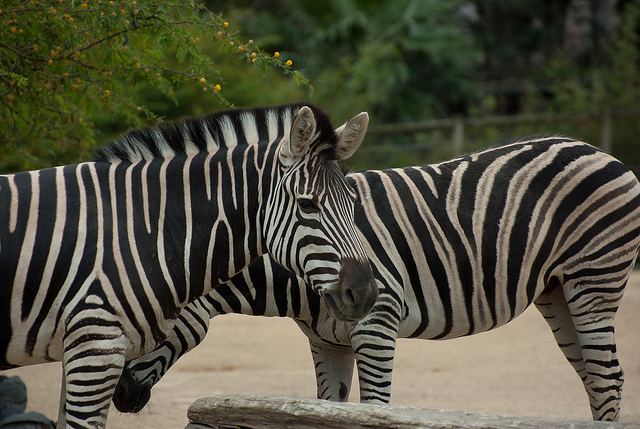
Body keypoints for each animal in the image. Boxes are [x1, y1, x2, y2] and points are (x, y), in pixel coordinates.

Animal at [0, 103, 379, 428]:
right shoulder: (95, 344)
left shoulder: (82, 349)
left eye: (353, 202)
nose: (366, 294)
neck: (144, 231)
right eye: (307, 204)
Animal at [113, 136, 640, 421]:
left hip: (594, 281)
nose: (118, 396)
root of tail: (600, 152)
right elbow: (328, 411)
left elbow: (377, 408)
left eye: (151, 315)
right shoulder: (328, 343)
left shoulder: (377, 327)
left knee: (608, 375)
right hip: (557, 291)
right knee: (593, 377)